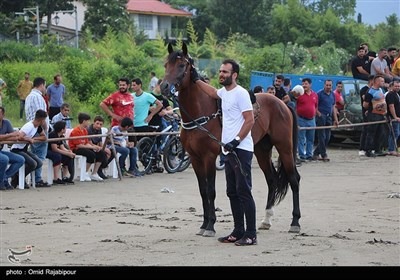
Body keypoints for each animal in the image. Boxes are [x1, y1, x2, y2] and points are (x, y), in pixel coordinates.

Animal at [160, 43, 300, 236]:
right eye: (166, 65)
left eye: (181, 65)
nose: (164, 87)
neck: (200, 114)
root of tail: (282, 103)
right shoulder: (195, 159)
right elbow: (203, 191)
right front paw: (204, 224)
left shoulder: (209, 157)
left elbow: (210, 191)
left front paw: (210, 226)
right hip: (262, 150)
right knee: (271, 179)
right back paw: (266, 219)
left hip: (284, 147)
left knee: (294, 179)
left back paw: (295, 222)